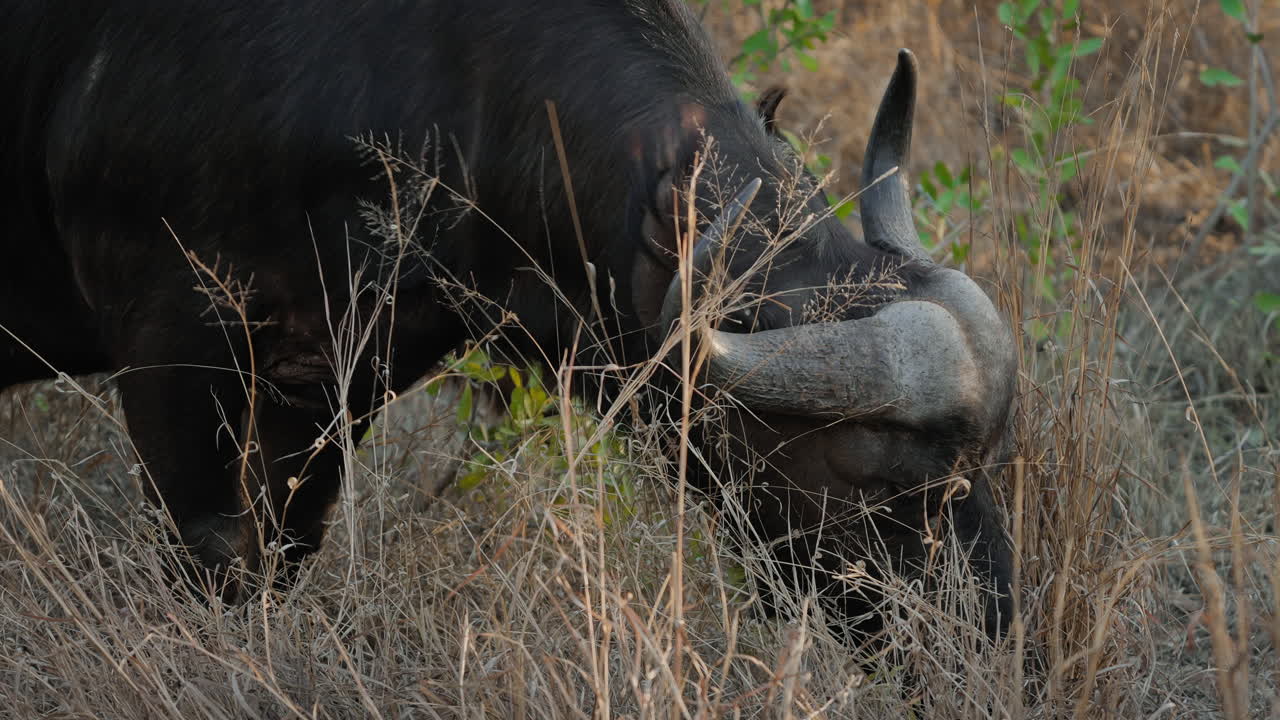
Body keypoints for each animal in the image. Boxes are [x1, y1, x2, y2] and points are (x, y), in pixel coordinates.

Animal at [1, 0, 1015, 638]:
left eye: (989, 466)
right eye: (877, 479)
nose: (986, 628)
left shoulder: (333, 380)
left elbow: (281, 554)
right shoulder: (171, 354)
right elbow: (212, 561)